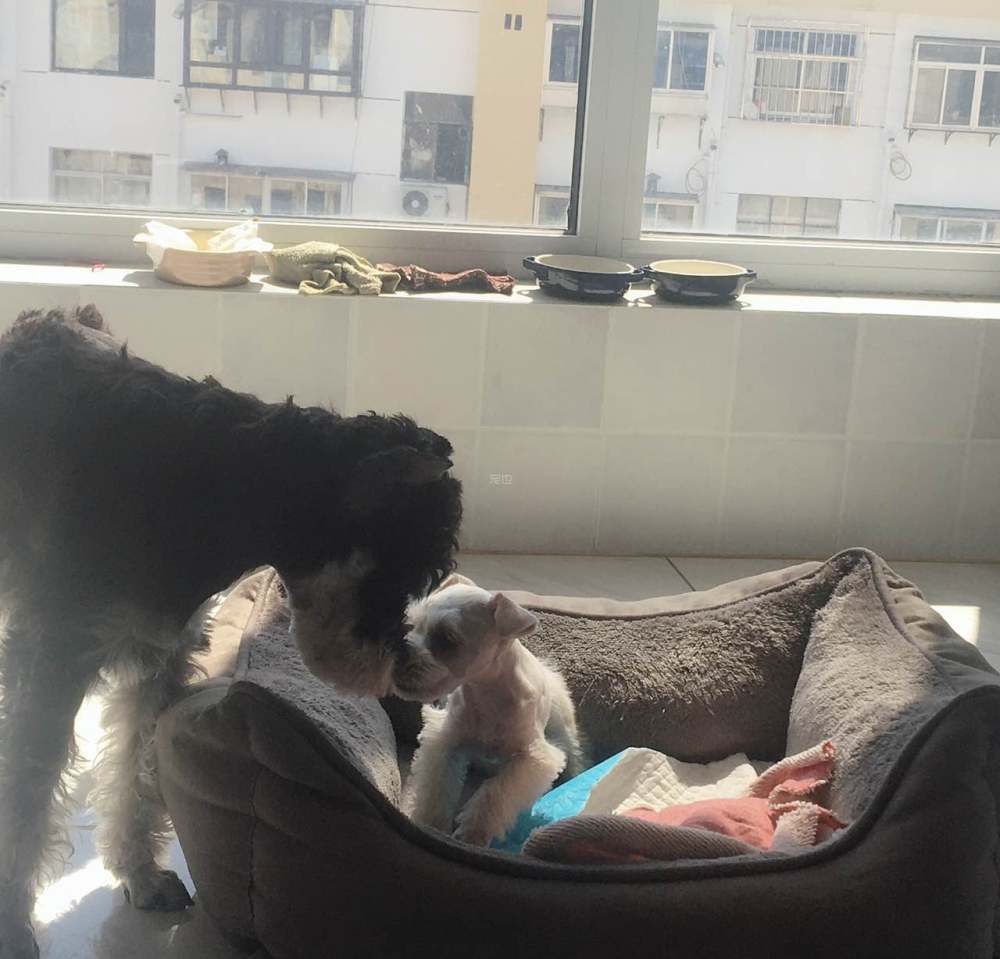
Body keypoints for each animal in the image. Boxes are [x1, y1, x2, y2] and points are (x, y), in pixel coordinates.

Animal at [0, 307, 462, 958]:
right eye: (396, 575)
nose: (394, 671)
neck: (220, 484)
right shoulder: (53, 659)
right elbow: (28, 795)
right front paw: (14, 926)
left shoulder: (162, 659)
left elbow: (139, 772)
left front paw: (141, 875)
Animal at [399, 574, 585, 847]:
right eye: (411, 626)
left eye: (447, 639)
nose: (397, 657)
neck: (487, 695)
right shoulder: (446, 742)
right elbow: (437, 789)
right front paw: (431, 825)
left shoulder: (530, 758)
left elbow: (495, 794)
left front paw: (472, 833)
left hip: (564, 735)